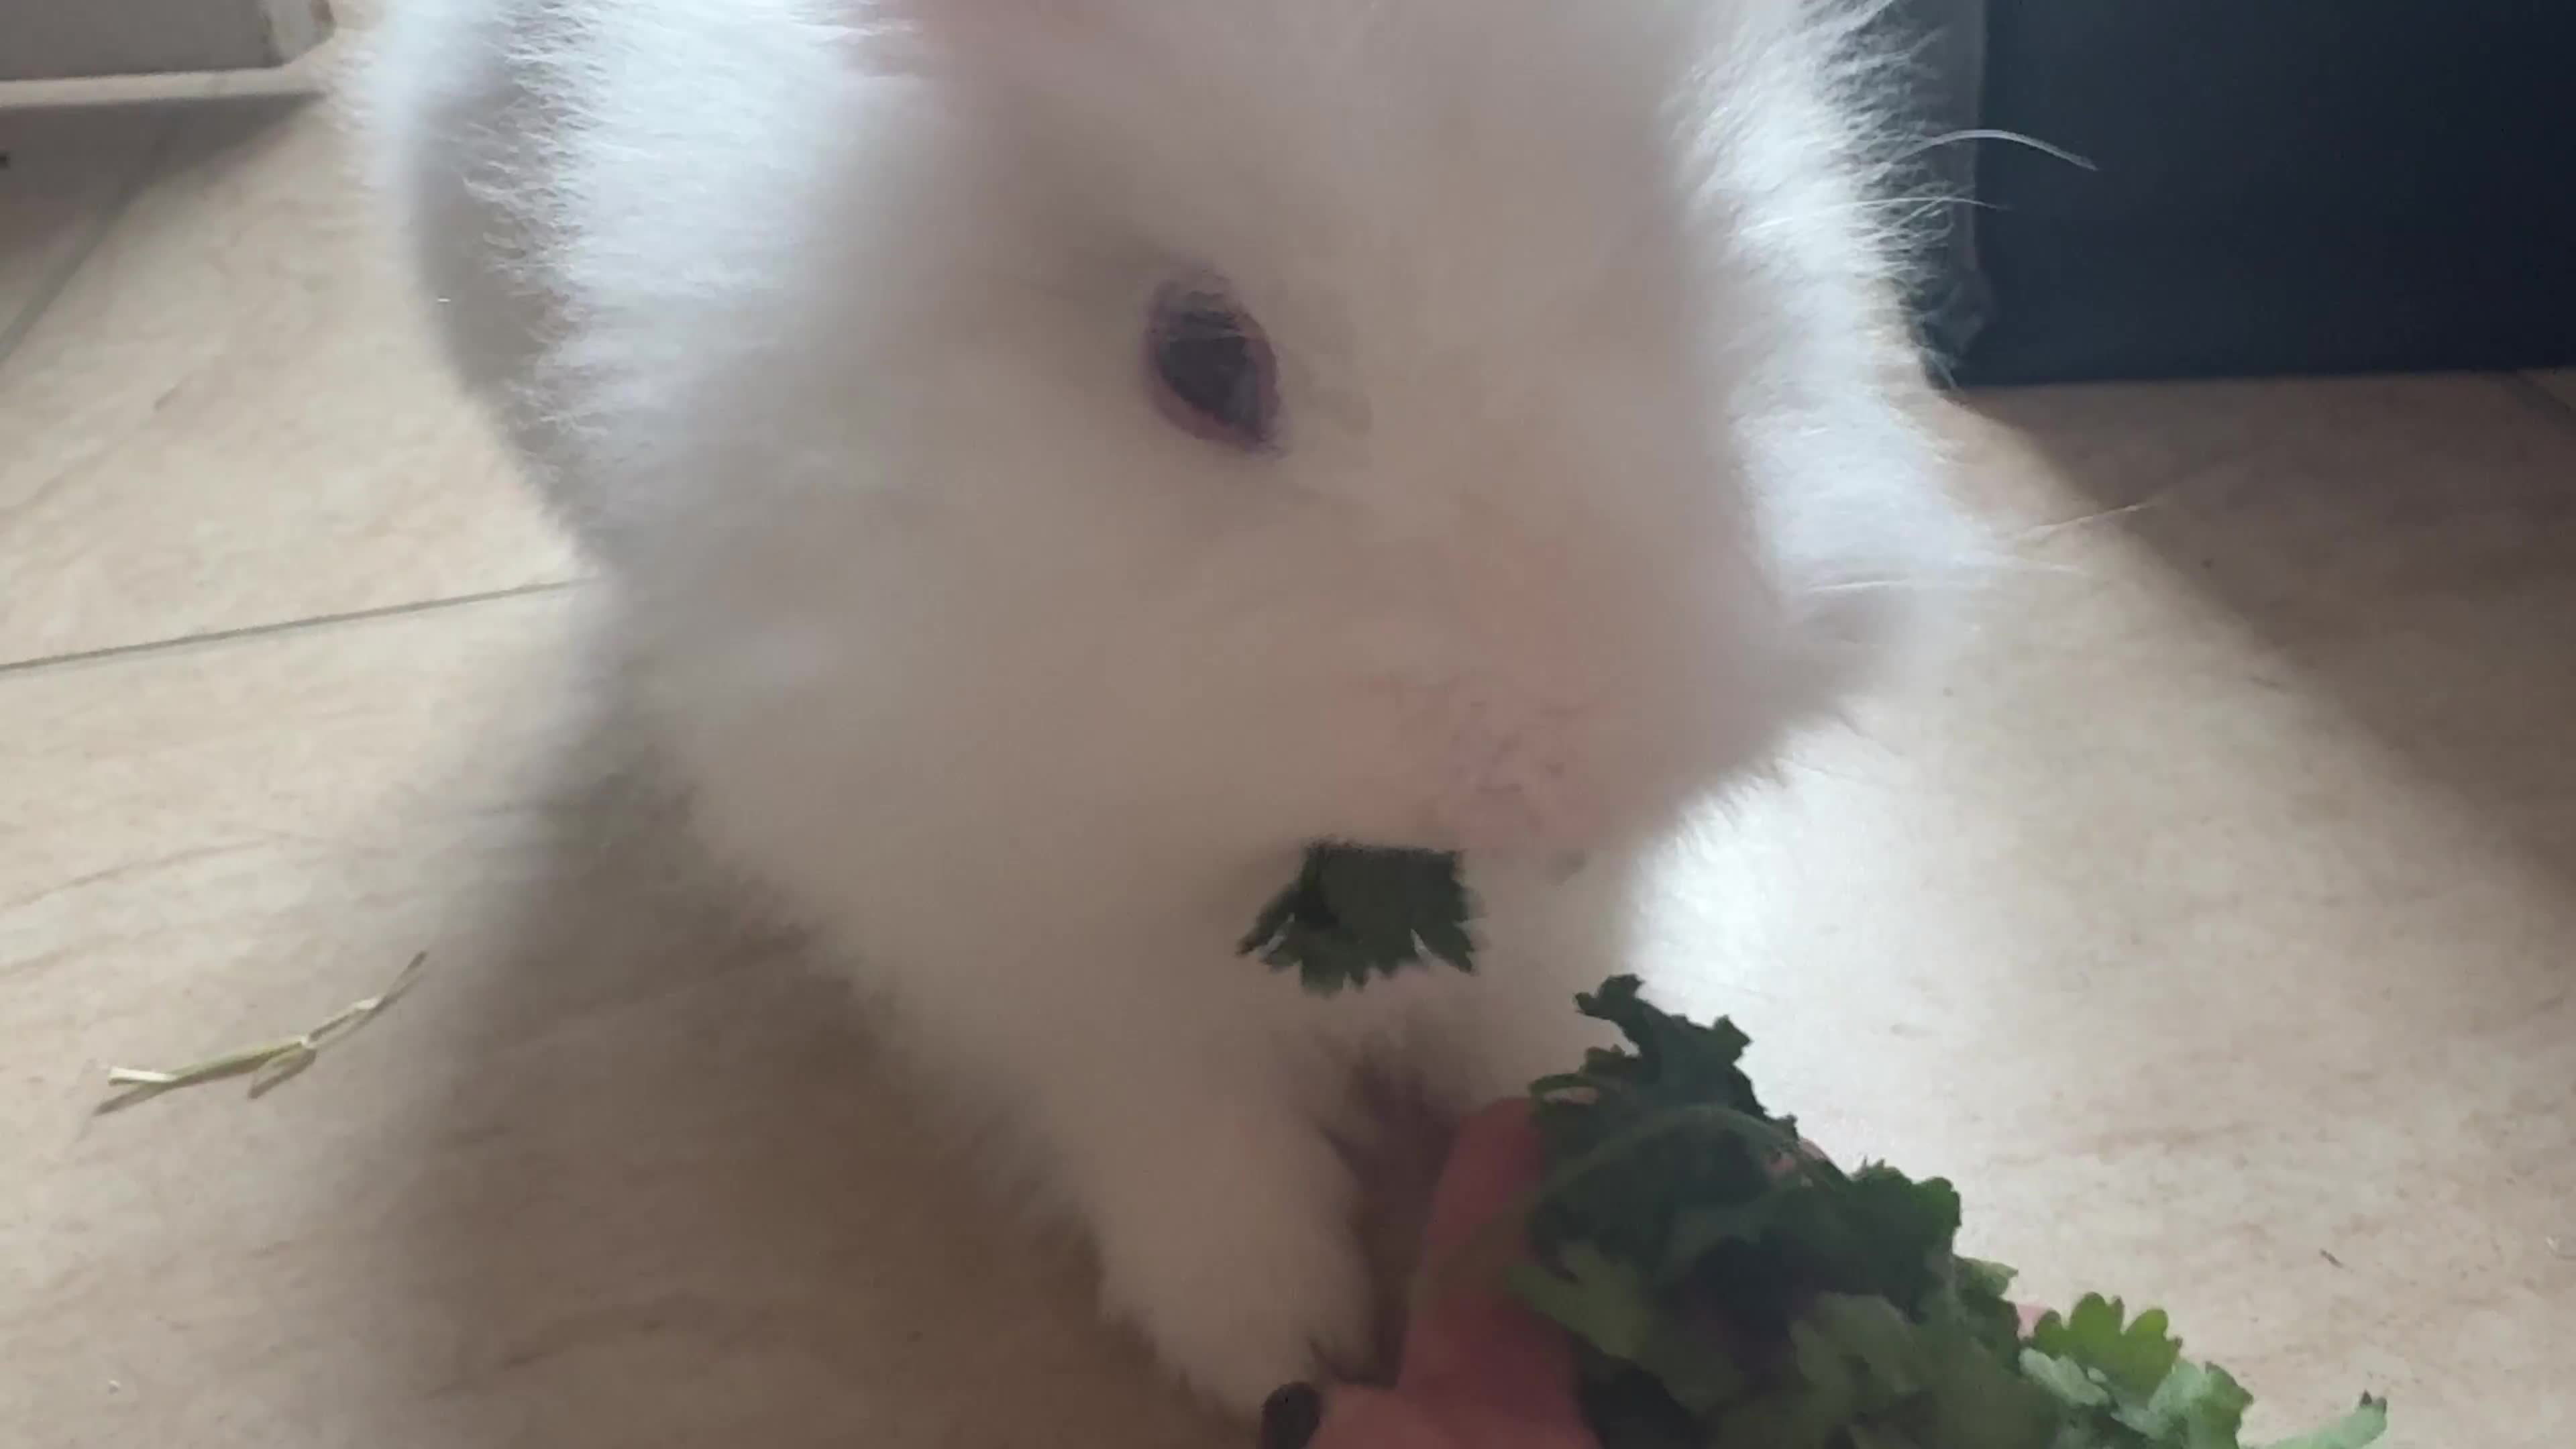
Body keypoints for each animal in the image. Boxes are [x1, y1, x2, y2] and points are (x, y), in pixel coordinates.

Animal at [361, 0, 1976, 1414]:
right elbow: (1180, 1130)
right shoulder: (1021, 922)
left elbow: (1535, 1018)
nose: (1554, 776)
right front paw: (1268, 1345)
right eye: (1201, 358)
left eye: (1701, 270)